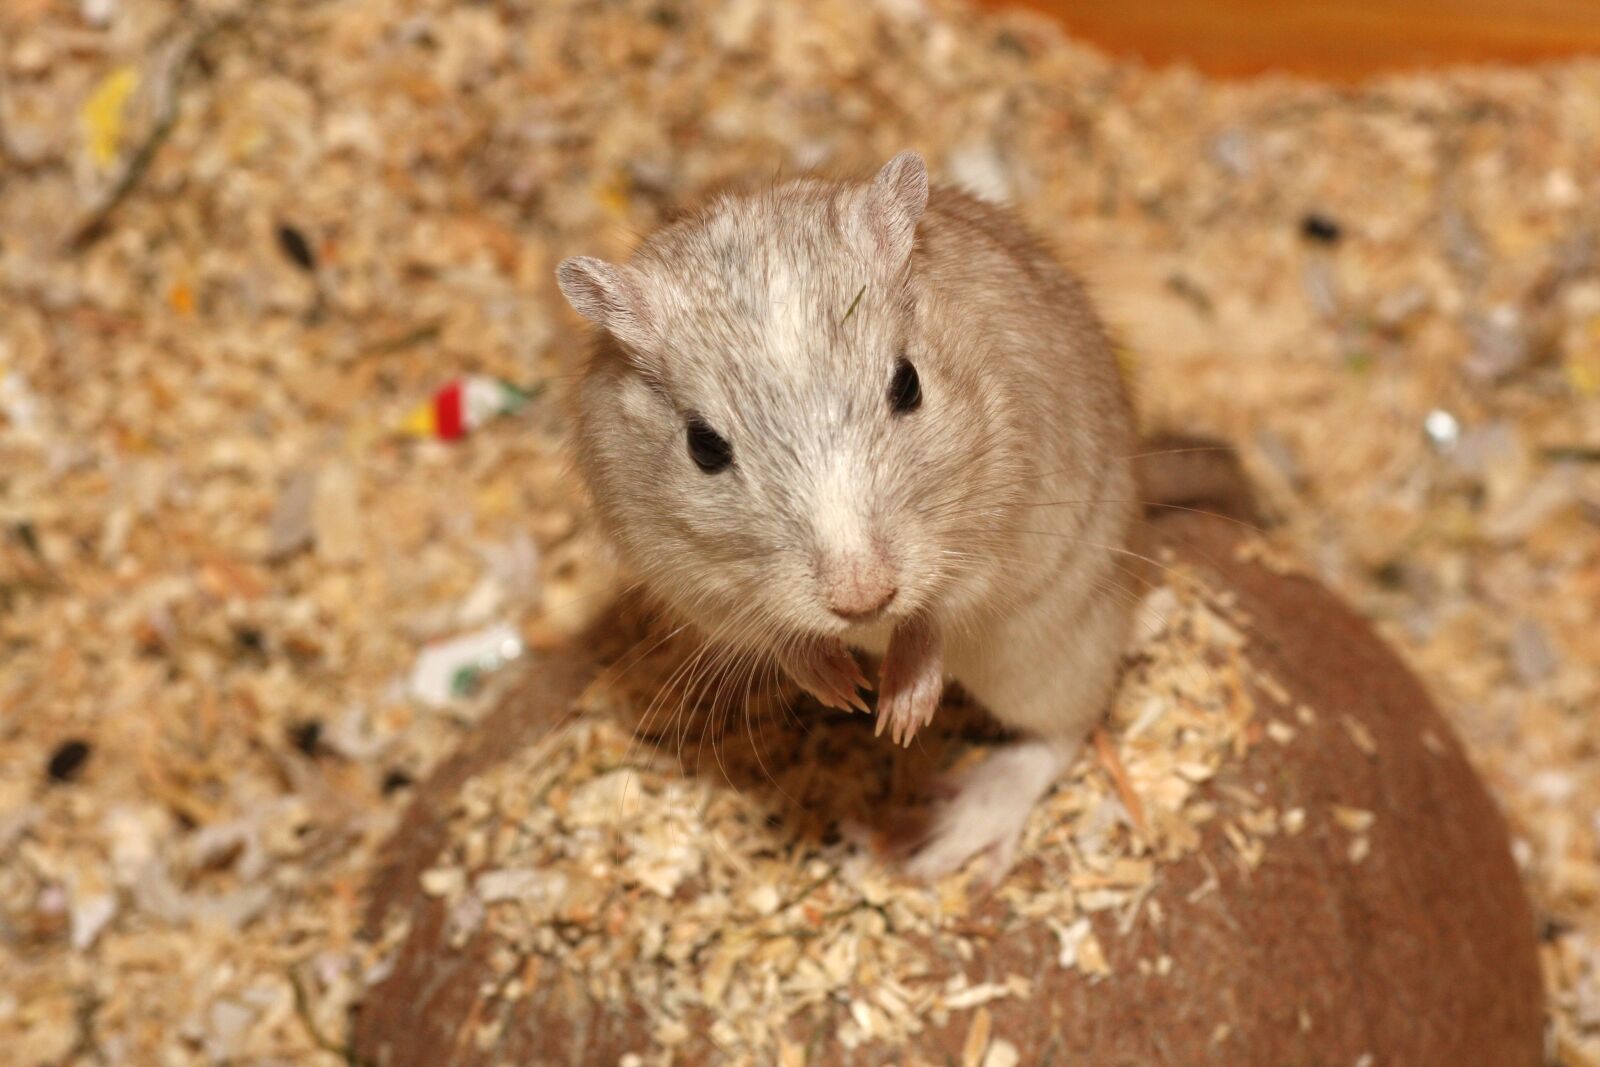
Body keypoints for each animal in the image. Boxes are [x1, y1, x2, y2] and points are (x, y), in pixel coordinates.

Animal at [556, 151, 1139, 882]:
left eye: (908, 385)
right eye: (704, 446)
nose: (863, 602)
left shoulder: (996, 522)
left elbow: (936, 613)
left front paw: (898, 716)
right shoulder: (687, 575)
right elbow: (775, 633)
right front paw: (843, 692)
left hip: (1052, 644)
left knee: (1062, 731)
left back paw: (938, 839)